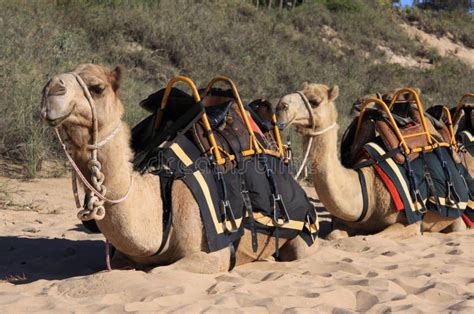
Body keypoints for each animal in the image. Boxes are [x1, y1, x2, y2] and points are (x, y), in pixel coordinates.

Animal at [274, 82, 466, 239]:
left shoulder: (411, 222)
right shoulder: (343, 222)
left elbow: (375, 237)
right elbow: (334, 235)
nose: (280, 106)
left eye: (314, 101)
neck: (368, 189)